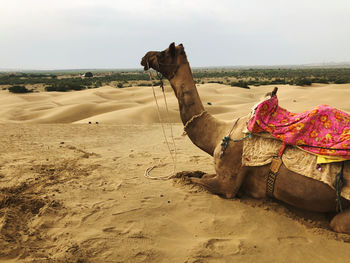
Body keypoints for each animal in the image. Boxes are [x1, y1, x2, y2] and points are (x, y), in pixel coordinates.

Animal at [141, 42, 350, 234]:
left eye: (164, 51)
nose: (145, 56)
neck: (218, 133)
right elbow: (194, 174)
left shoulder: (227, 183)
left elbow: (197, 181)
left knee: (337, 223)